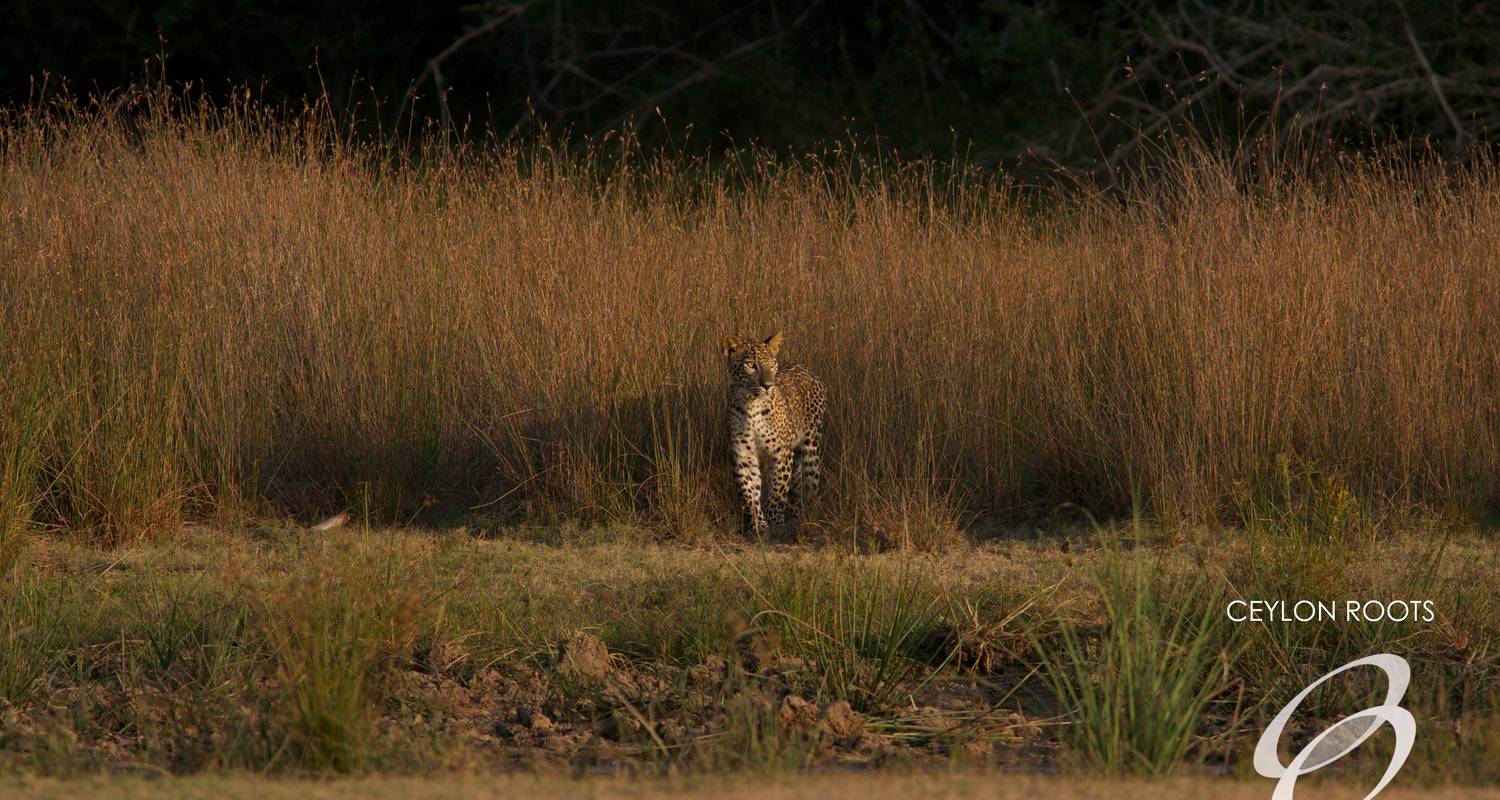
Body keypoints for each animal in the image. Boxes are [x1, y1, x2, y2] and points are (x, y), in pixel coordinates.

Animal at [720, 330, 828, 537]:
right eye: (751, 365)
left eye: (771, 364)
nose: (768, 385)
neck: (752, 405)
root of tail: (803, 366)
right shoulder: (744, 455)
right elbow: (749, 493)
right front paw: (758, 527)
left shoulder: (781, 452)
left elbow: (777, 491)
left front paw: (776, 524)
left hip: (811, 447)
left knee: (809, 484)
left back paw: (806, 517)